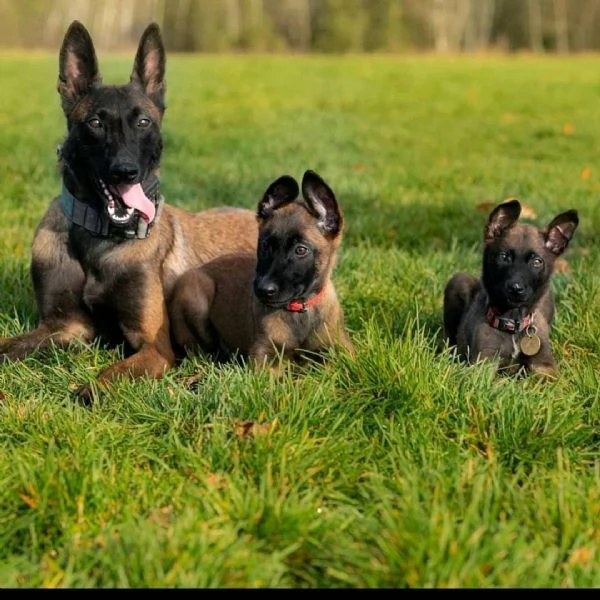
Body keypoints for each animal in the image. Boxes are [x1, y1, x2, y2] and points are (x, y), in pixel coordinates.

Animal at [169, 169, 354, 370]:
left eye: (301, 250)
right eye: (265, 245)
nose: (263, 290)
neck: (300, 309)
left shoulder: (341, 350)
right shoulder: (263, 356)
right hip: (193, 290)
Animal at [442, 202, 580, 380]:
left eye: (537, 262)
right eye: (504, 257)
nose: (516, 288)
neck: (512, 323)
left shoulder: (544, 365)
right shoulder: (483, 364)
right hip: (458, 281)